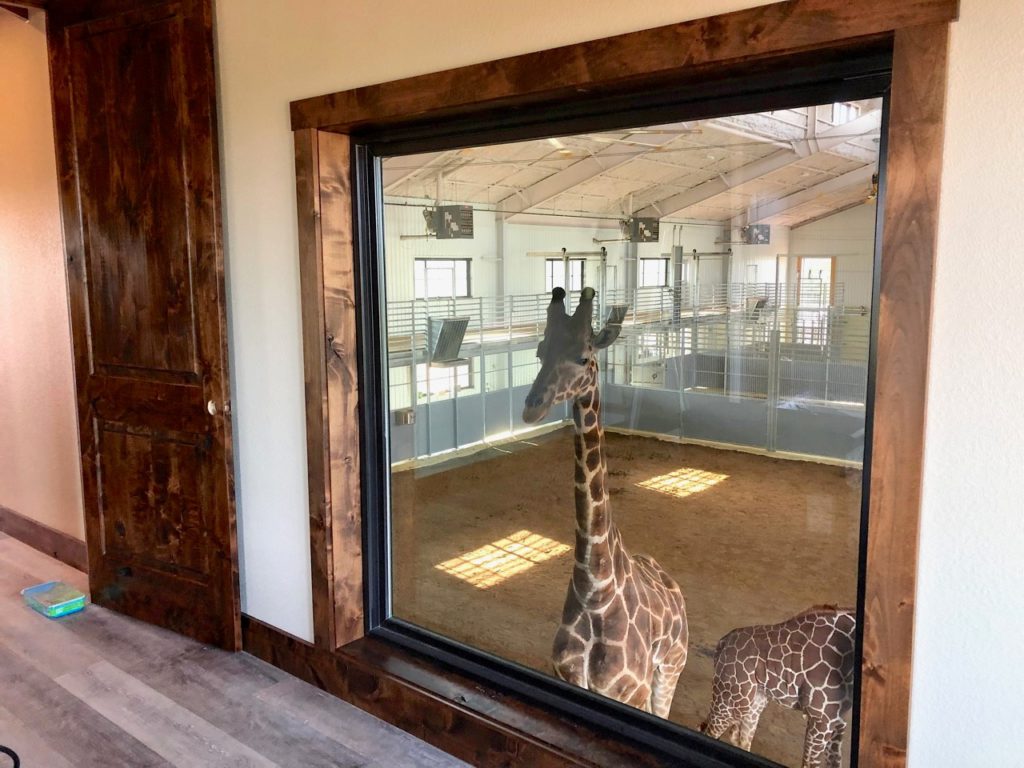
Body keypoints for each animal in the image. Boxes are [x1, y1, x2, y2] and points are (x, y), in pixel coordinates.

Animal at [520, 288, 688, 720]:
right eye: (540, 350)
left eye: (583, 356)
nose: (532, 406)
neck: (595, 589)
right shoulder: (568, 678)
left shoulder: (630, 691)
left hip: (670, 670)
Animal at [696, 606, 856, 768]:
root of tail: (723, 642)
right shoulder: (821, 719)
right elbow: (810, 764)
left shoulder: (837, 721)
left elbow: (835, 761)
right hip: (731, 701)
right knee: (710, 732)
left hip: (754, 700)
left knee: (739, 737)